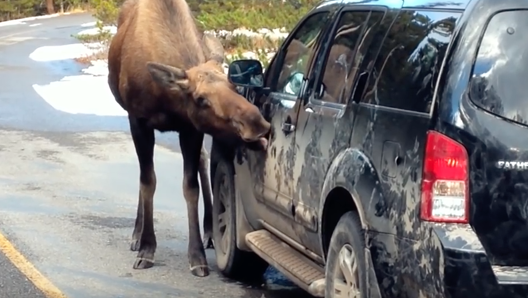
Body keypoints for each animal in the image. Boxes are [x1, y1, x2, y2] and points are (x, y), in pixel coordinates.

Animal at [108, 0, 272, 278]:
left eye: (233, 86)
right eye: (201, 99)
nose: (257, 123)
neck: (165, 98)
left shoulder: (191, 128)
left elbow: (190, 187)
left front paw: (197, 256)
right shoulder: (138, 121)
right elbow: (147, 181)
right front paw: (147, 248)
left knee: (203, 161)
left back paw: (209, 231)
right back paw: (137, 234)